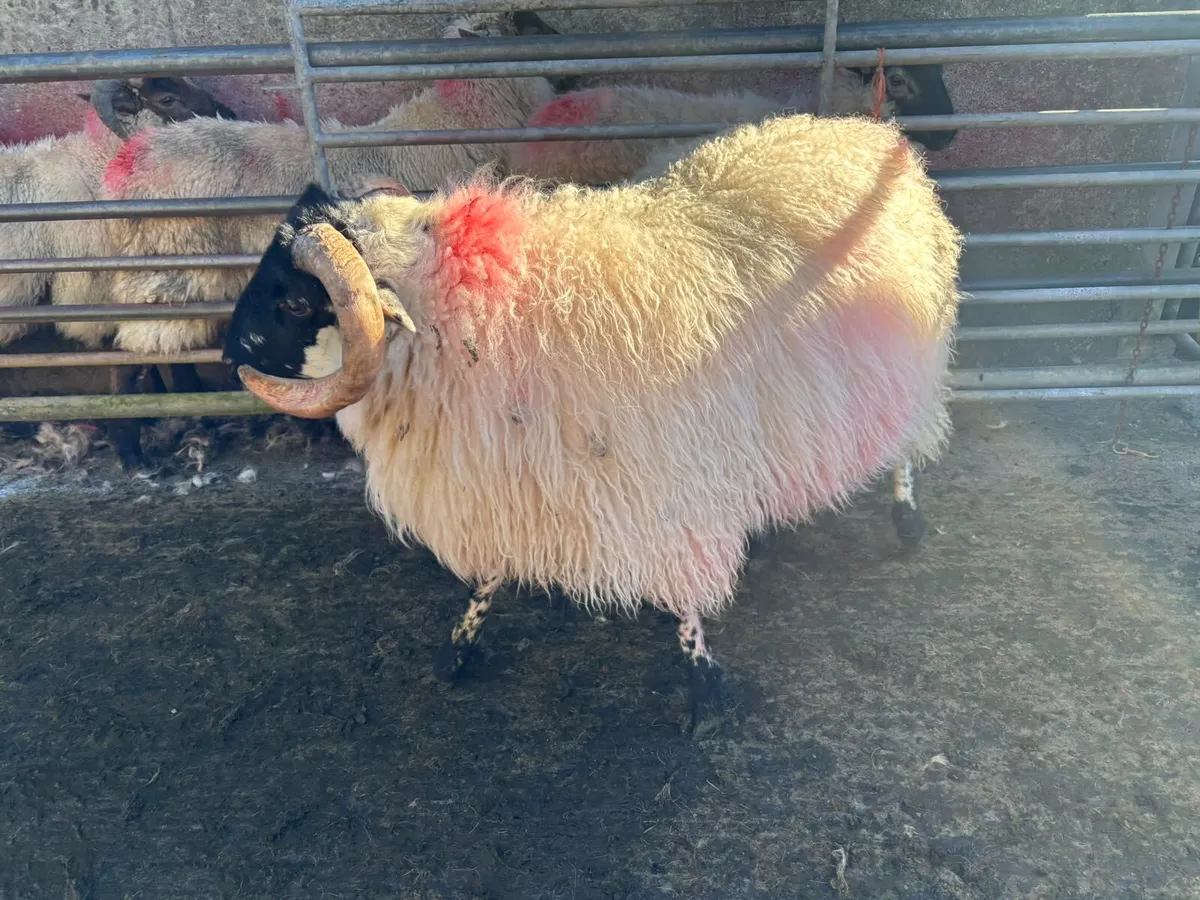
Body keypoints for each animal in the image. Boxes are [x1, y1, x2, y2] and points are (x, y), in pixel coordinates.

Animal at [221, 112, 963, 728]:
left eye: (295, 301)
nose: (227, 354)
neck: (489, 314)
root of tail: (865, 131)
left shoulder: (661, 482)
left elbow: (684, 590)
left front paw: (705, 684)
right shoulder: (507, 473)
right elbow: (490, 575)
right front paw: (460, 648)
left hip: (908, 360)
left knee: (907, 439)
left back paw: (908, 519)